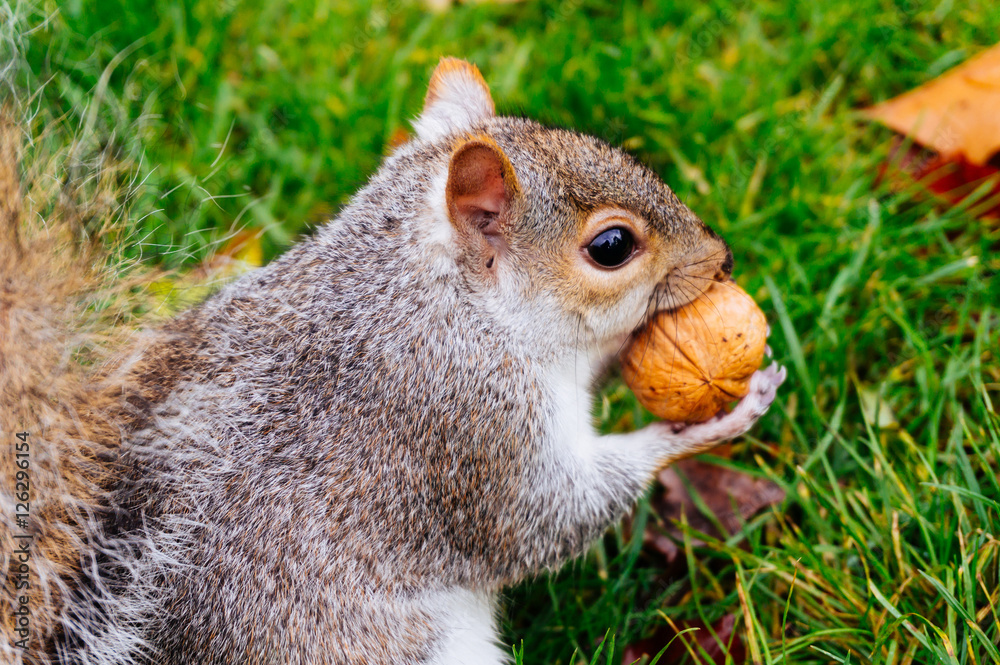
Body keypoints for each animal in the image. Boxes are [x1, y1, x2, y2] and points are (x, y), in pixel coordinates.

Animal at [2, 58, 786, 664]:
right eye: (612, 247)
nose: (723, 259)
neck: (430, 295)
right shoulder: (466, 427)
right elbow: (547, 519)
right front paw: (708, 424)